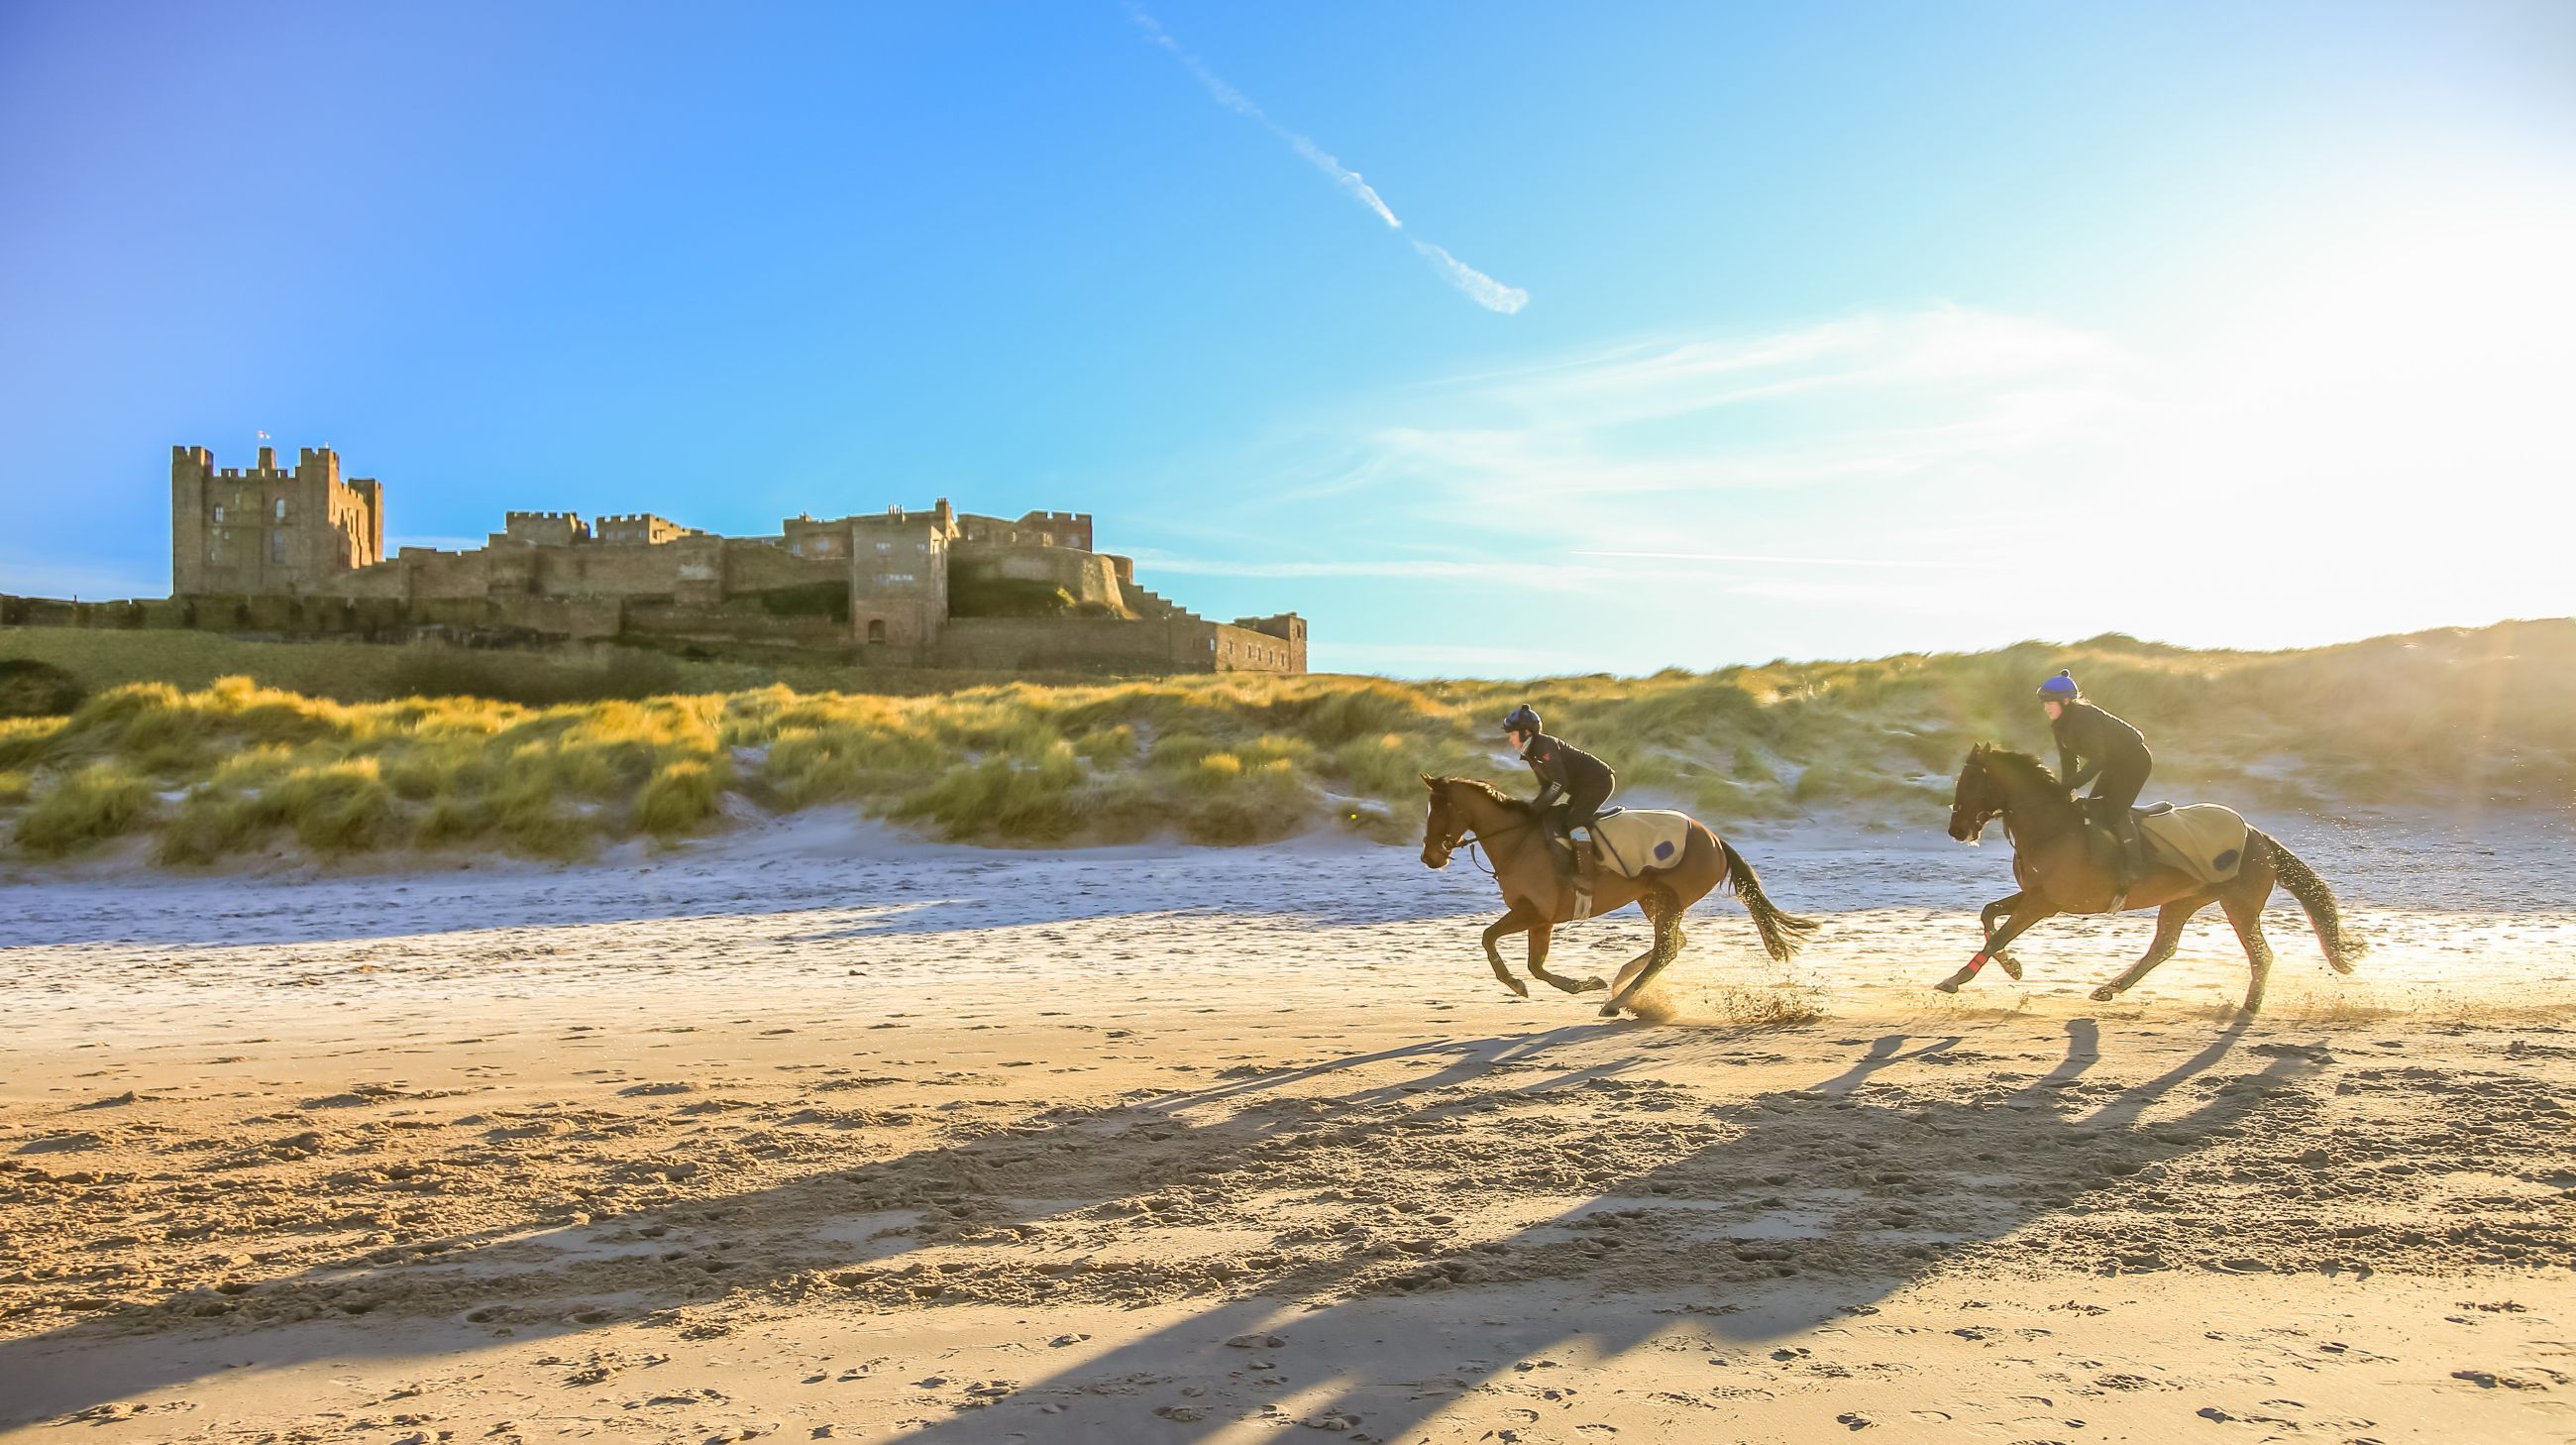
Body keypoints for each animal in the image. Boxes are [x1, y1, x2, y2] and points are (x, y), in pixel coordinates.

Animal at [1418, 775, 1817, 1017]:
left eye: (1439, 812)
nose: (1429, 858)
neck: (1518, 842)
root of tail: (1715, 839)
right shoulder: (1541, 919)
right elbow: (1535, 965)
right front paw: (1583, 984)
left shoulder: (1535, 912)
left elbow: (1491, 939)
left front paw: (1518, 984)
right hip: (1652, 898)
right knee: (1675, 943)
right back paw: (1620, 983)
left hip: (1671, 899)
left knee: (1666, 949)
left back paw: (1618, 1001)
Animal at [1938, 744, 2366, 1012]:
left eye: (1971, 781)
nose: (1956, 830)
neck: (2050, 826)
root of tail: (2259, 836)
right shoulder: (2034, 894)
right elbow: (1988, 914)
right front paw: (2012, 967)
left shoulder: (2046, 902)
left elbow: (2000, 934)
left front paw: (1957, 979)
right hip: (2182, 901)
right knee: (2163, 947)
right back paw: (2109, 989)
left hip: (2239, 904)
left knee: (2260, 955)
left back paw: (2250, 1006)